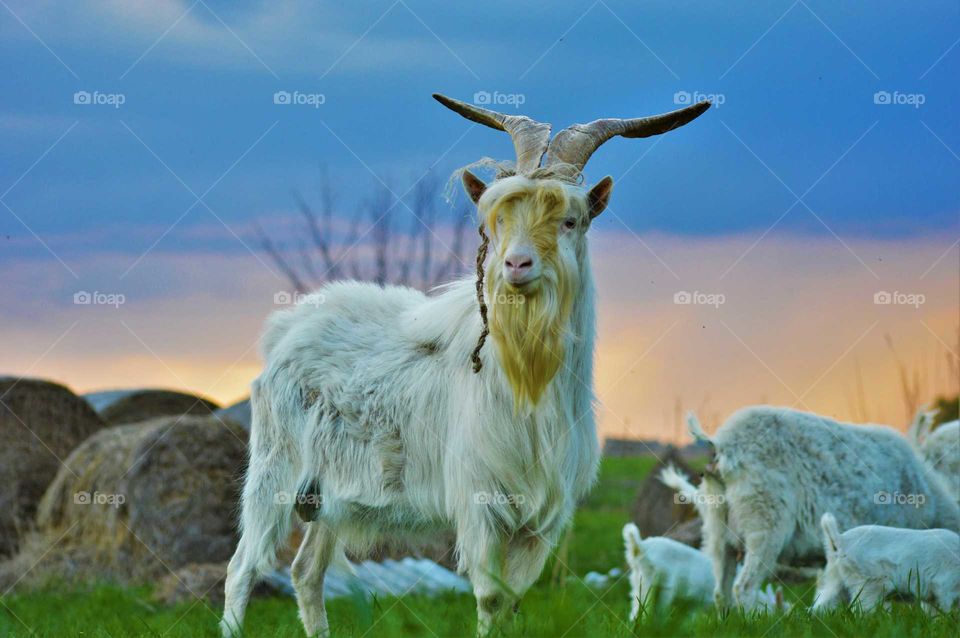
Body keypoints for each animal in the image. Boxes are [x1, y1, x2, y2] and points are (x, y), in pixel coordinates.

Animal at [220, 93, 711, 637]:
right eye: (498, 221)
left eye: (571, 220)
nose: (517, 265)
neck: (525, 385)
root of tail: (286, 329)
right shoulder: (480, 502)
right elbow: (490, 596)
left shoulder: (543, 516)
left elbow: (513, 597)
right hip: (275, 471)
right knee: (243, 567)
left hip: (327, 497)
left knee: (306, 572)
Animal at [813, 513, 960, 612]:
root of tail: (839, 540)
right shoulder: (943, 587)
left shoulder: (931, 597)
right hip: (869, 585)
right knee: (861, 610)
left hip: (835, 579)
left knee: (821, 603)